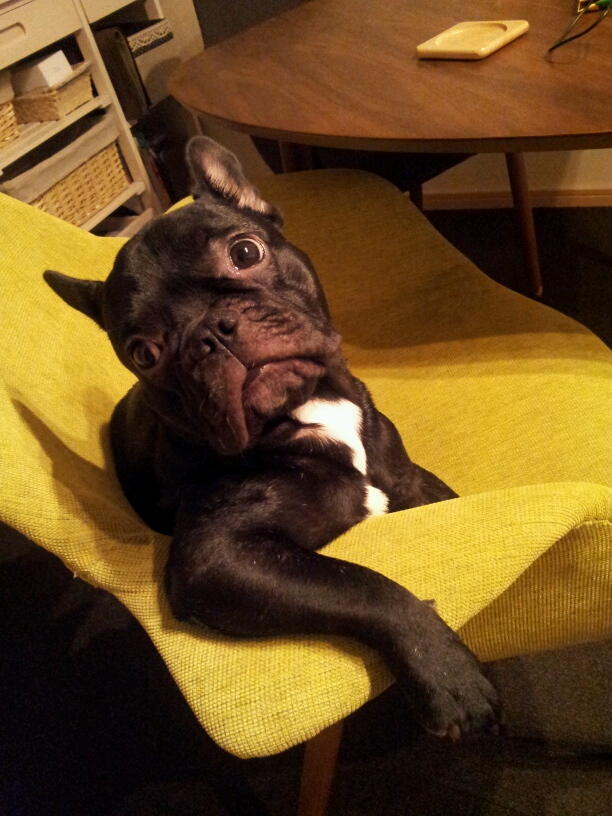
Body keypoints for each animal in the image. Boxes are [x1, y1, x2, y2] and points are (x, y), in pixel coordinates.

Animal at [44, 136, 499, 739]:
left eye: (245, 253)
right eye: (143, 353)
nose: (209, 333)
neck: (307, 409)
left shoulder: (413, 483)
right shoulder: (219, 558)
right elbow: (362, 584)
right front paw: (447, 673)